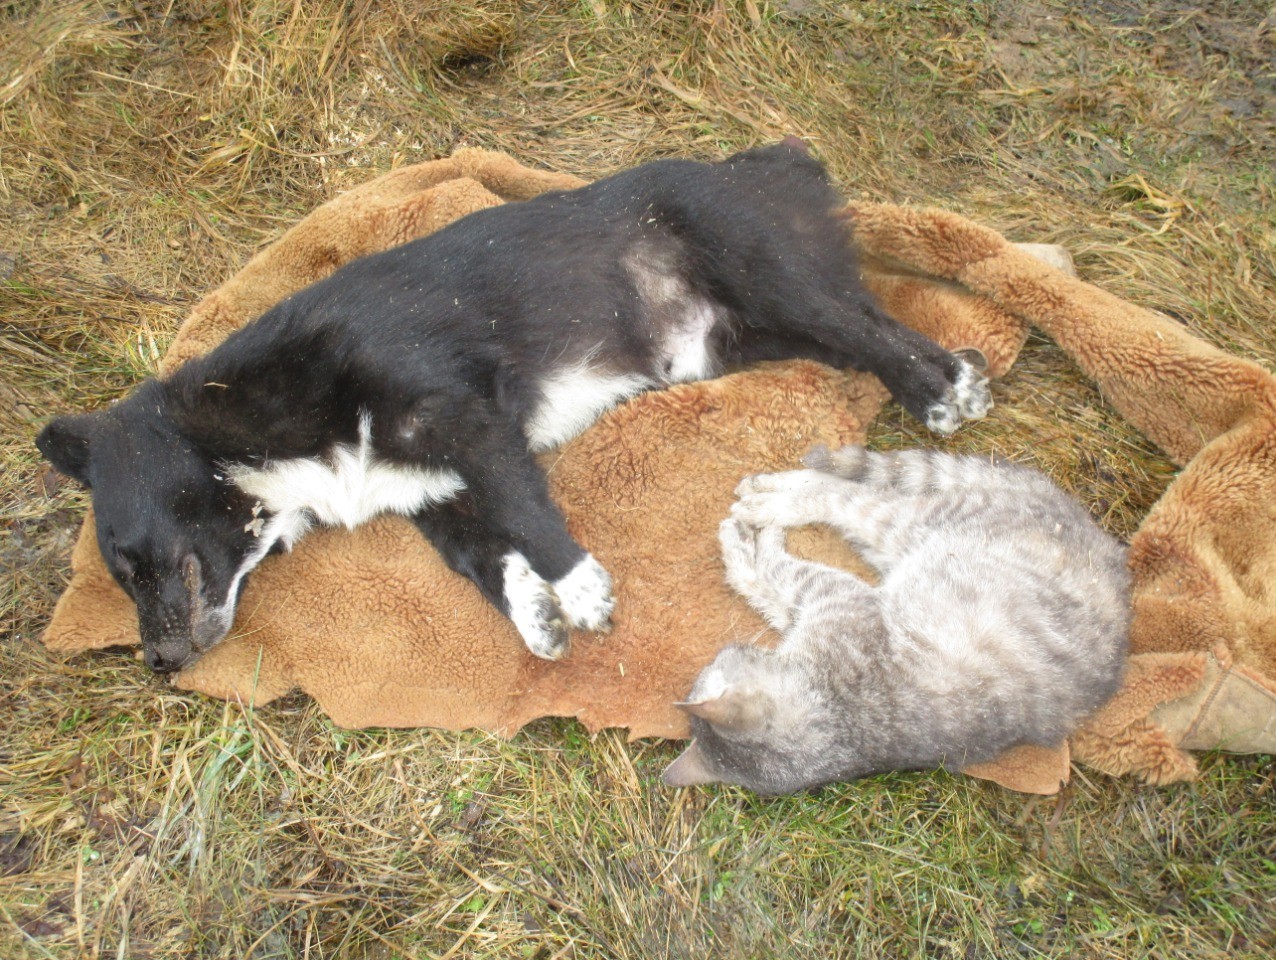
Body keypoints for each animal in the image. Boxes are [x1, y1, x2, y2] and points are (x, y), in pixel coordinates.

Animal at [34, 140, 990, 674]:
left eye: (129, 559)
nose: (157, 666)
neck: (250, 429)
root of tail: (769, 163)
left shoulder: (464, 419)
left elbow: (528, 513)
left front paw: (582, 588)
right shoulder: (431, 493)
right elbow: (485, 563)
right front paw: (537, 618)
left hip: (759, 265)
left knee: (871, 326)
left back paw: (948, 389)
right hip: (728, 341)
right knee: (855, 334)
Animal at [663, 446, 1133, 791]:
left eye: (716, 663)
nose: (724, 648)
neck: (843, 723)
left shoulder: (843, 602)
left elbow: (773, 572)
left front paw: (747, 544)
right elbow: (766, 588)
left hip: (912, 525)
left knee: (846, 495)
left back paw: (777, 500)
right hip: (894, 545)